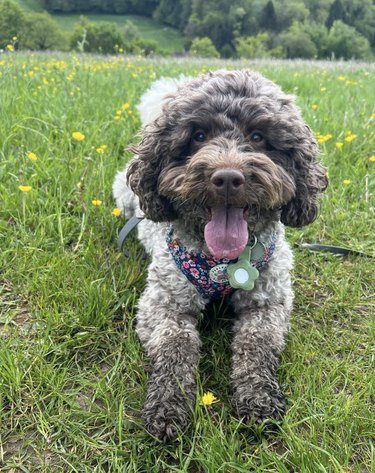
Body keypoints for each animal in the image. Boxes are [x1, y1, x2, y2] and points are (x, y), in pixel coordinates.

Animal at [112, 70, 328, 438]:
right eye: (198, 136)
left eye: (258, 136)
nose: (227, 178)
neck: (223, 263)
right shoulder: (164, 304)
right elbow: (175, 345)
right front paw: (168, 404)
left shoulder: (268, 303)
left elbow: (256, 344)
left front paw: (258, 397)